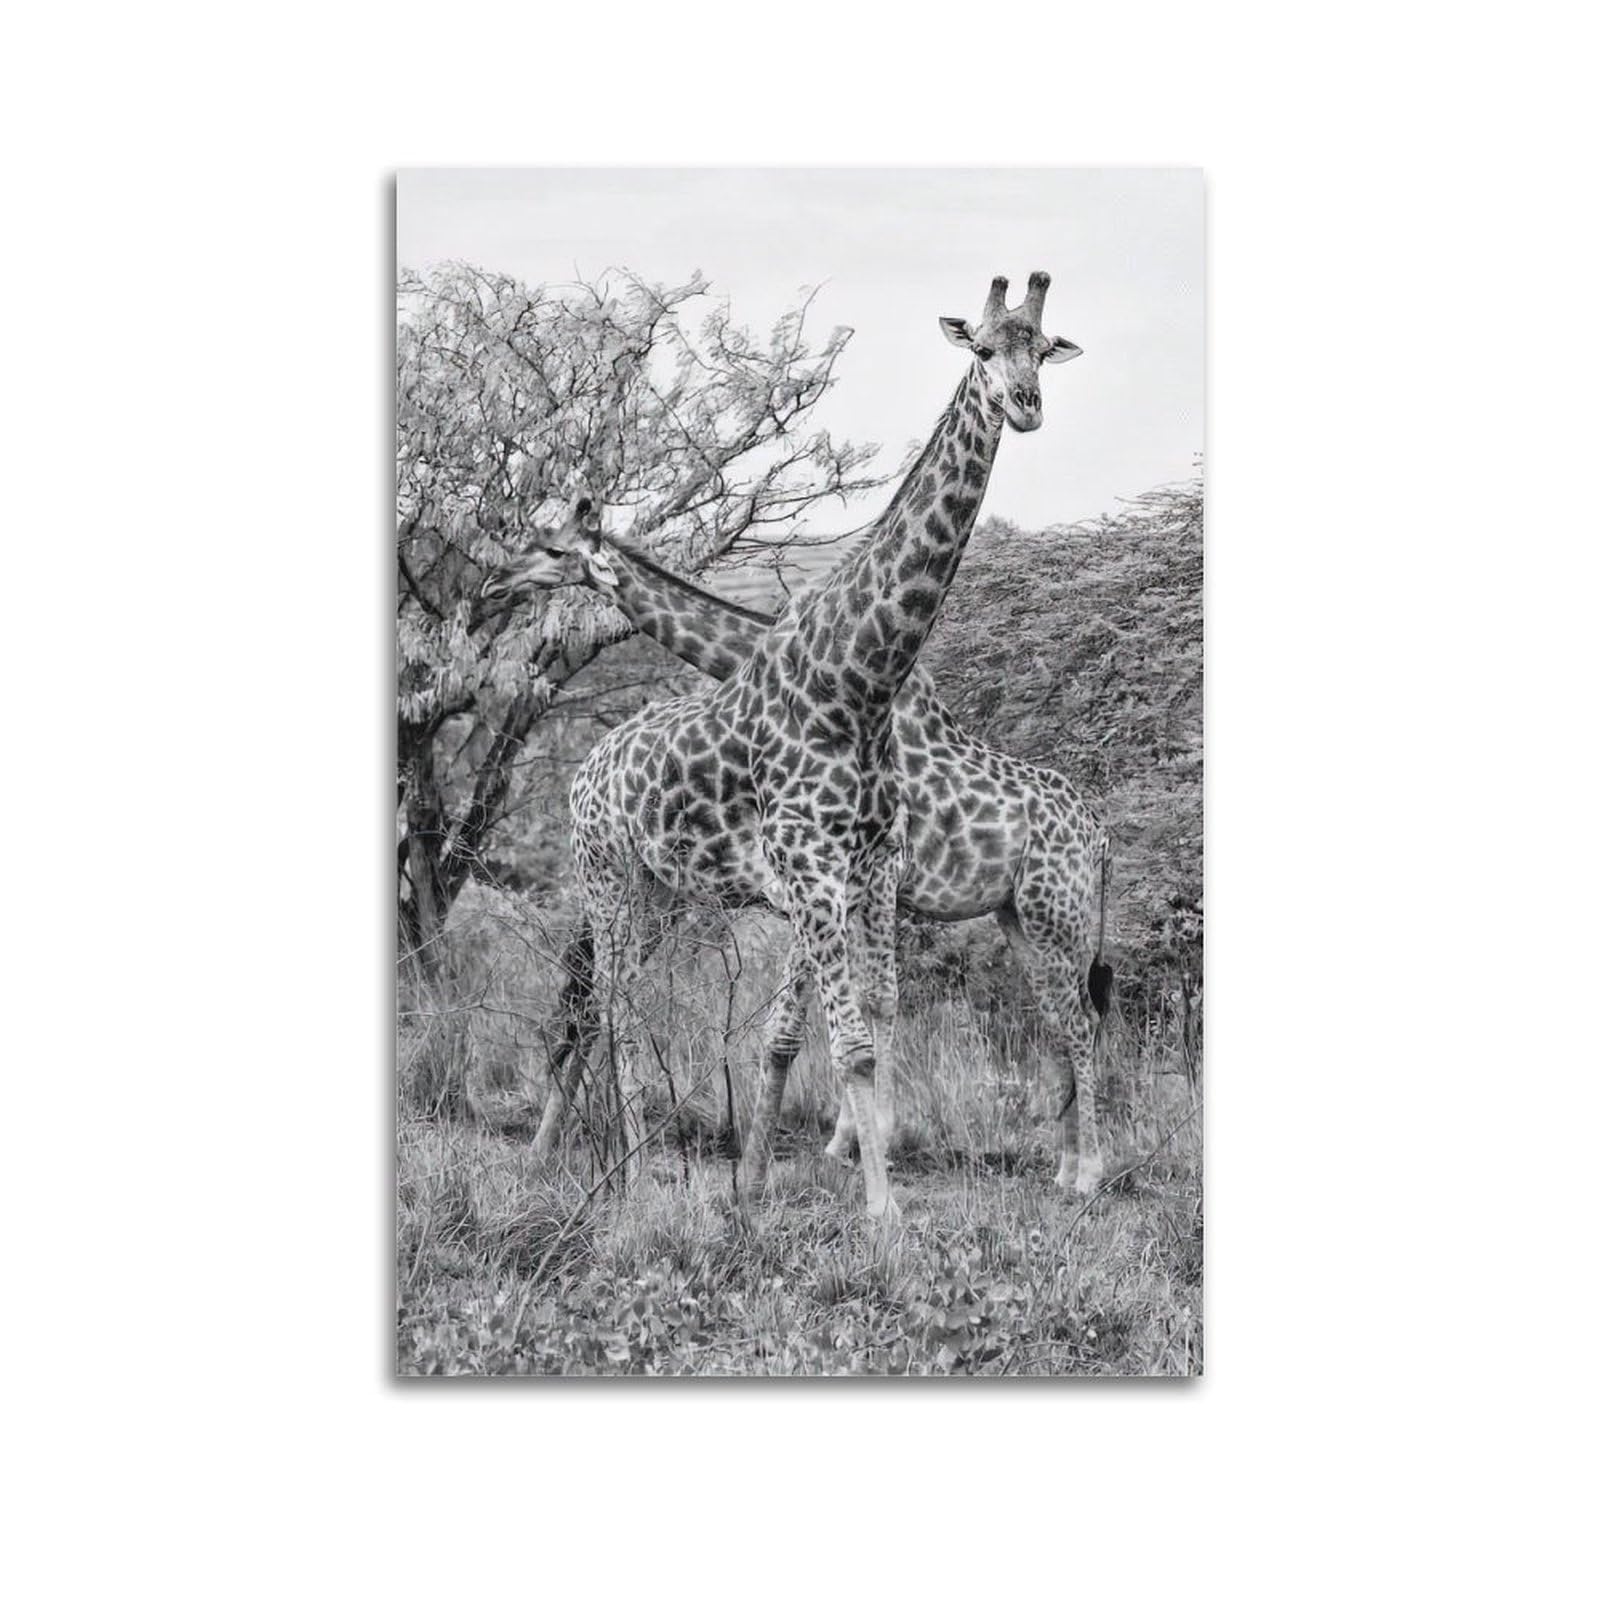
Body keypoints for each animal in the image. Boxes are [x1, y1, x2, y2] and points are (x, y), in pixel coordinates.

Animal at [486, 478, 1113, 1195]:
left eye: (553, 548)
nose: (497, 583)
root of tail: (1101, 836)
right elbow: (821, 1013)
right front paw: (840, 1146)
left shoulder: (862, 875)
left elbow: (845, 1011)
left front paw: (849, 1145)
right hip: (1021, 915)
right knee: (1059, 1018)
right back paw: (1064, 1166)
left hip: (1055, 912)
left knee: (1079, 1019)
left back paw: (1088, 1170)